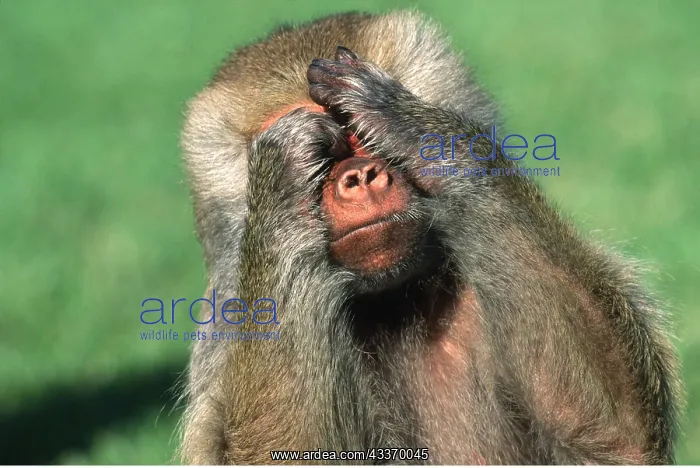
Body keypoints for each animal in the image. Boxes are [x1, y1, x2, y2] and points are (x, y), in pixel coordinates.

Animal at [178, 10, 682, 465]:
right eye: (325, 155)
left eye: (359, 137)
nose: (359, 177)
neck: (394, 304)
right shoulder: (229, 320)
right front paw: (283, 173)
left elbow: (614, 440)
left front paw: (410, 126)